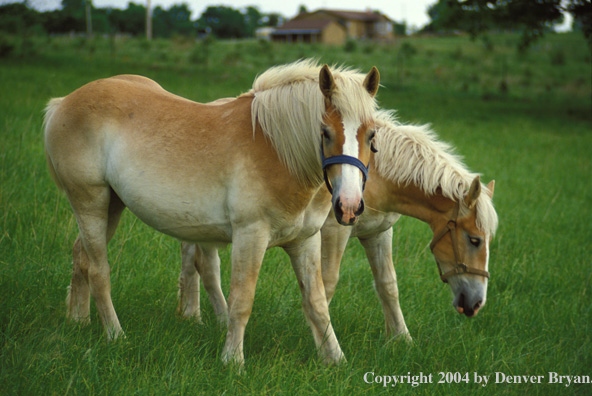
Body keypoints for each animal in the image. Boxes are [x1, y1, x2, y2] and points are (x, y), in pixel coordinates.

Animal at [44, 58, 382, 366]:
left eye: (372, 135)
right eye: (325, 132)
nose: (348, 206)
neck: (276, 149)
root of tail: (63, 103)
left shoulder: (305, 241)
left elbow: (316, 301)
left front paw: (335, 360)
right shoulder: (250, 236)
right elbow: (241, 301)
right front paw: (233, 361)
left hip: (111, 206)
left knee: (81, 256)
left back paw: (78, 321)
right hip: (90, 203)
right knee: (98, 270)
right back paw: (115, 335)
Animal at [178, 108, 498, 344]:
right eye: (474, 240)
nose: (477, 303)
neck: (376, 176)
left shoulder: (379, 232)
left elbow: (388, 285)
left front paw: (402, 339)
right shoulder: (335, 231)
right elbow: (327, 283)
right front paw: (315, 335)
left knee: (193, 260)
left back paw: (192, 316)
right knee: (206, 266)